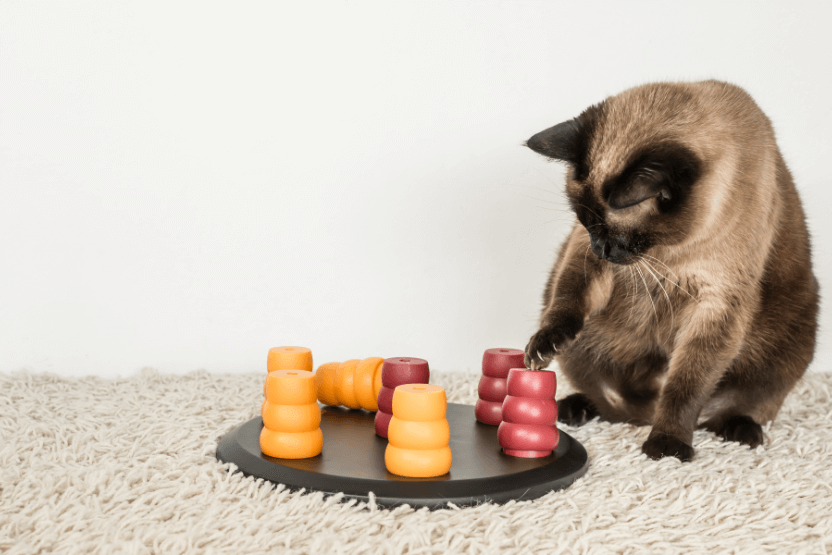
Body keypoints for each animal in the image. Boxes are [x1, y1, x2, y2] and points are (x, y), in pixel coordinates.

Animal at [528, 80, 820, 462]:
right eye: (586, 224)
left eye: (615, 233)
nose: (601, 249)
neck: (670, 253)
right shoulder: (582, 258)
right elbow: (566, 302)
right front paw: (542, 346)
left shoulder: (716, 303)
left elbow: (684, 388)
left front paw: (667, 447)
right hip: (583, 346)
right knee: (609, 402)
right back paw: (573, 409)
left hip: (789, 341)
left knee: (734, 407)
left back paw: (742, 432)